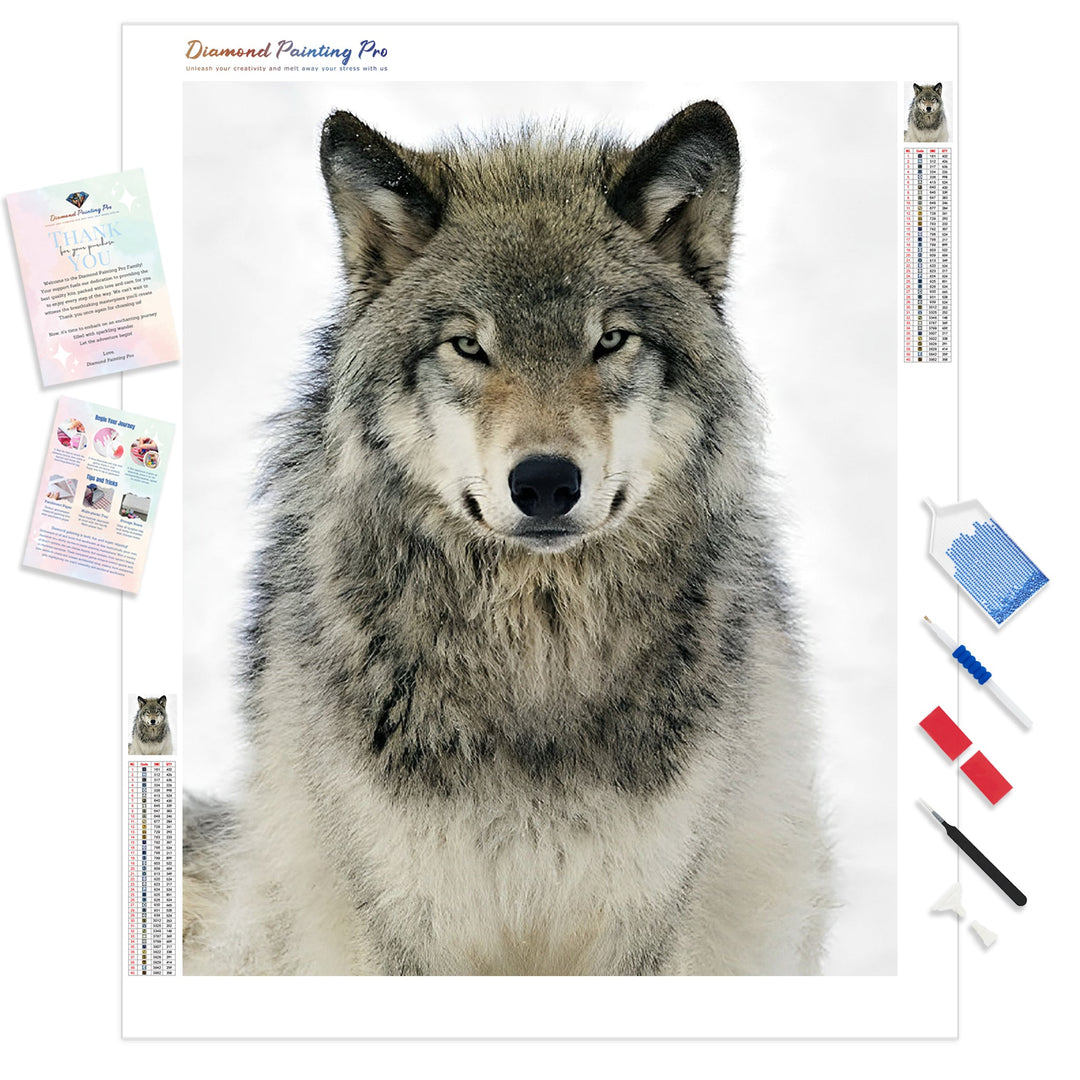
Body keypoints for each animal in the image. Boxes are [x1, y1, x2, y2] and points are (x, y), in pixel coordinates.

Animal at [183, 100, 834, 976]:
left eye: (610, 339)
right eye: (469, 344)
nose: (547, 483)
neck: (537, 652)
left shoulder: (645, 918)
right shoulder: (403, 918)